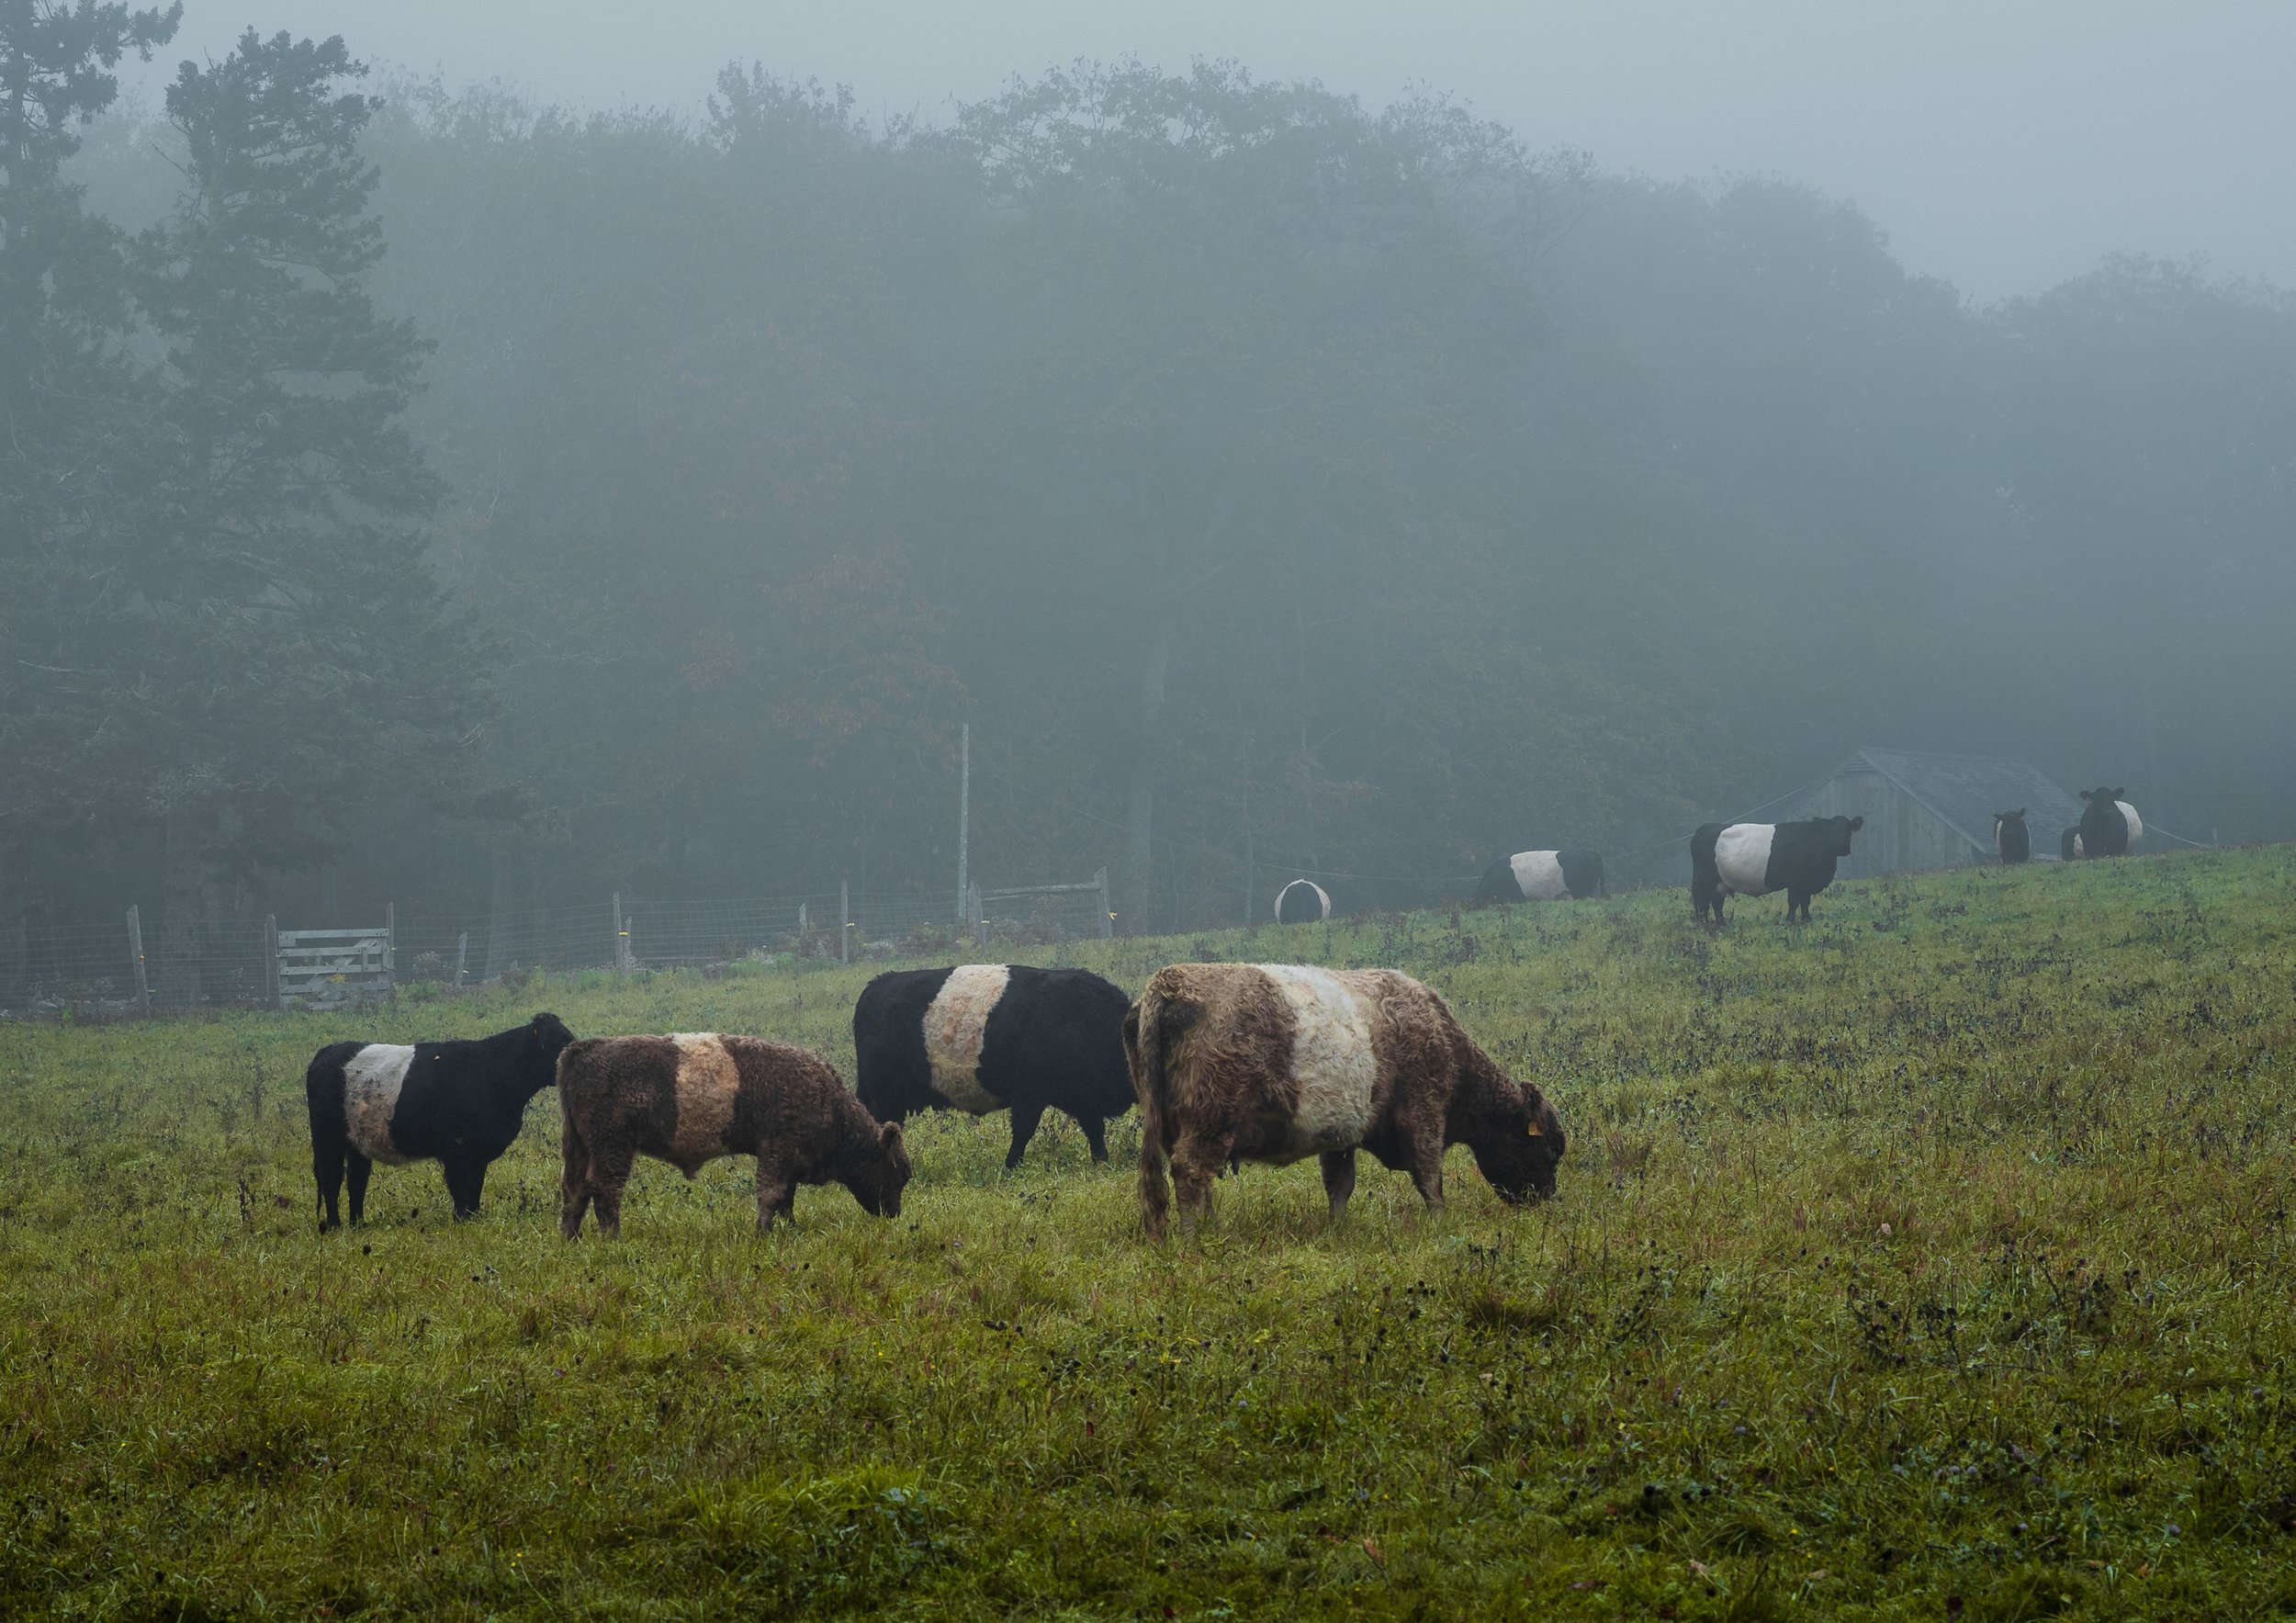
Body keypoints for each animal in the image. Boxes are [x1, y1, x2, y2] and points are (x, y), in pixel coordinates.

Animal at [305, 1012, 575, 1229]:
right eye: (558, 1042)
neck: (492, 1073)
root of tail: (327, 1052)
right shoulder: (457, 1148)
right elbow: (460, 1188)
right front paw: (461, 1221)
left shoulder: (478, 1153)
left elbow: (474, 1187)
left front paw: (473, 1218)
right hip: (327, 1138)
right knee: (331, 1177)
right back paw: (335, 1225)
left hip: (356, 1140)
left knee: (356, 1179)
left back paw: (358, 1224)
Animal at [554, 1033, 908, 1237]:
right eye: (902, 1174)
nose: (895, 1214)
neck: (826, 1098)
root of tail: (582, 1049)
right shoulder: (776, 1153)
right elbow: (771, 1195)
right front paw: (763, 1233)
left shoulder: (787, 1161)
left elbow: (786, 1199)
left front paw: (789, 1228)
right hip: (612, 1148)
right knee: (604, 1190)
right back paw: (613, 1238)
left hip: (578, 1148)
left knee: (574, 1190)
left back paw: (571, 1239)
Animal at [853, 964, 1134, 1170]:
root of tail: (876, 985)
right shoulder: (1029, 1094)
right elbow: (1023, 1130)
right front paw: (1011, 1165)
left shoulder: (1085, 1098)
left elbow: (1095, 1131)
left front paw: (1102, 1161)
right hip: (886, 1097)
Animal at [1123, 962, 1565, 1240]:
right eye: (1548, 1149)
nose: (1546, 1200)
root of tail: (1169, 981)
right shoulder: (1424, 1113)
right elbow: (1429, 1177)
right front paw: (1441, 1221)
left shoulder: (1340, 1136)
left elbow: (1340, 1185)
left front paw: (1336, 1229)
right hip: (1211, 1121)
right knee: (1190, 1173)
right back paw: (1195, 1240)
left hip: (1179, 1127)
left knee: (1195, 1180)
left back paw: (1211, 1228)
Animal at [1691, 815, 1864, 924]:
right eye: (1830, 831)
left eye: (1847, 830)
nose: (1841, 847)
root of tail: (1704, 828)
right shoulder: (1795, 881)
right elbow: (1794, 901)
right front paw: (1790, 921)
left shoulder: (1806, 883)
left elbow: (1805, 902)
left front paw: (1806, 920)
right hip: (1704, 880)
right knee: (1705, 903)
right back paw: (1707, 924)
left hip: (1720, 882)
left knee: (1717, 902)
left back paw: (1721, 924)